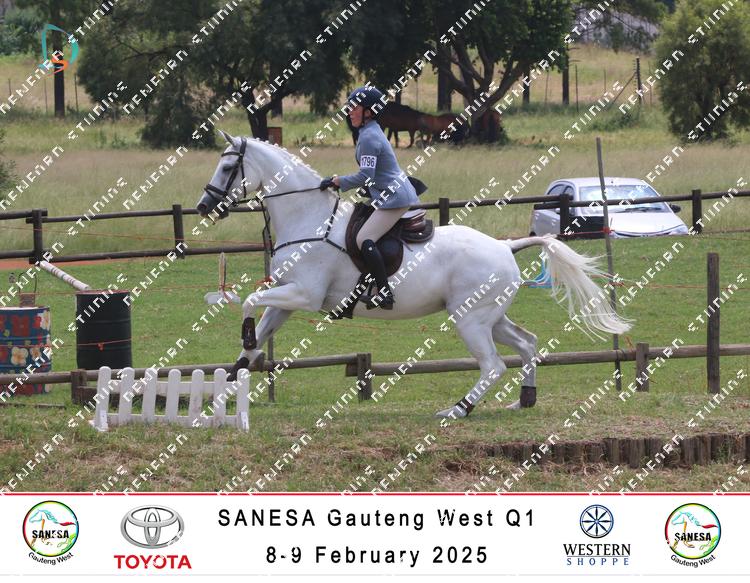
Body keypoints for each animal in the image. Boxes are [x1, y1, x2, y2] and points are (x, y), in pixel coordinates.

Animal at [196, 130, 631, 419]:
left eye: (228, 166)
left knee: (493, 364)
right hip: (489, 315)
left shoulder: (303, 295)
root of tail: (505, 247)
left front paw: (241, 344)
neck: (309, 218)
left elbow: (250, 302)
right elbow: (254, 342)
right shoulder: (287, 298)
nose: (203, 207)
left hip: (471, 320)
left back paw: (459, 409)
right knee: (527, 344)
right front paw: (221, 392)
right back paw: (523, 399)